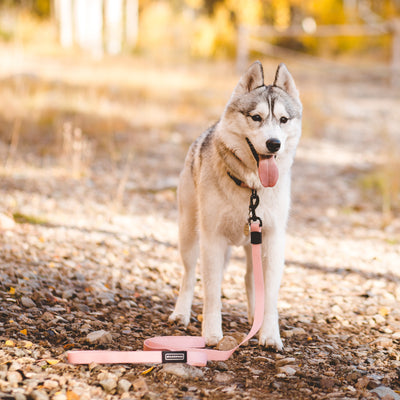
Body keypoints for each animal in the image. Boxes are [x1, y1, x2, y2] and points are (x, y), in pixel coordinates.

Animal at [167, 61, 302, 348]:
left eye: (283, 120)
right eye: (256, 118)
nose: (274, 144)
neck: (252, 189)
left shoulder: (272, 240)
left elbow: (270, 296)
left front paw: (269, 334)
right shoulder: (212, 239)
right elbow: (211, 292)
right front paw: (211, 333)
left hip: (254, 245)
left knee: (250, 278)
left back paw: (254, 318)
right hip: (189, 234)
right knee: (188, 275)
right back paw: (181, 313)